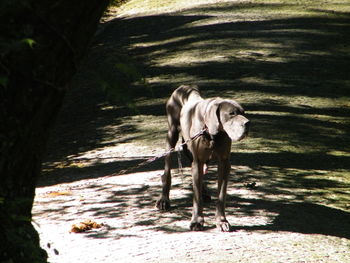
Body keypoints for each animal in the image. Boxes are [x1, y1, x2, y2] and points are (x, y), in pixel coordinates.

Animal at [156, 85, 249, 232]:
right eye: (231, 113)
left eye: (244, 112)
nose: (248, 123)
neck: (212, 133)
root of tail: (183, 87)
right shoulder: (198, 161)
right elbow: (196, 196)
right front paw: (196, 221)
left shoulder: (224, 162)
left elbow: (221, 194)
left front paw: (222, 221)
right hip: (172, 134)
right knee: (167, 170)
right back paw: (164, 199)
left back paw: (204, 192)